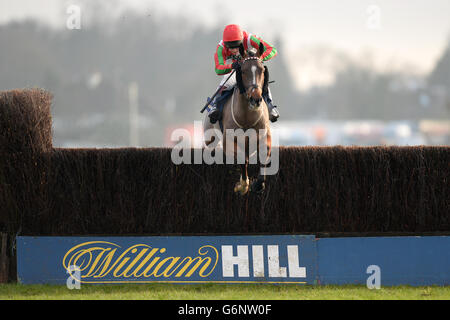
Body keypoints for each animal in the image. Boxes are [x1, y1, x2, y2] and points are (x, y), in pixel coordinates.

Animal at [203, 42, 270, 195]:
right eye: (243, 71)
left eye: (262, 70)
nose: (255, 99)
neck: (247, 118)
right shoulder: (229, 142)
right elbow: (241, 159)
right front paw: (242, 185)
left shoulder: (264, 137)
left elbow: (263, 154)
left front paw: (258, 183)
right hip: (210, 138)